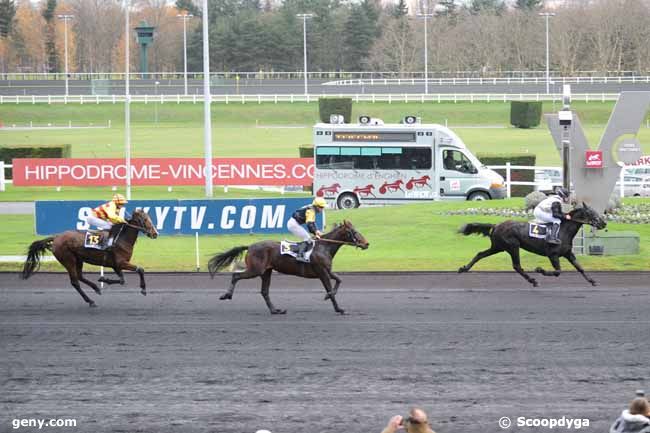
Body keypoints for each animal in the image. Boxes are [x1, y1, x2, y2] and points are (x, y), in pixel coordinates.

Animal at [20, 208, 158, 304]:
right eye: (145, 220)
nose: (155, 233)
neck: (121, 239)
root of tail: (56, 237)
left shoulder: (115, 265)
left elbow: (122, 280)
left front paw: (103, 279)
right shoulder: (121, 263)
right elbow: (140, 269)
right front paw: (143, 289)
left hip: (78, 259)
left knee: (80, 276)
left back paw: (96, 288)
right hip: (68, 260)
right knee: (75, 281)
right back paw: (90, 301)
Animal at [209, 219, 370, 314]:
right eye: (354, 232)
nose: (366, 243)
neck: (324, 247)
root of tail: (250, 246)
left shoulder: (327, 270)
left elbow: (339, 280)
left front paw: (329, 297)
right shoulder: (322, 272)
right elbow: (330, 288)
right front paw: (338, 308)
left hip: (266, 272)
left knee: (264, 291)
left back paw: (275, 310)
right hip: (256, 270)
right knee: (236, 275)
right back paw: (226, 295)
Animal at [458, 203, 604, 286]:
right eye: (591, 213)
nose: (603, 223)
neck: (563, 231)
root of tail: (496, 225)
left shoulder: (568, 254)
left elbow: (580, 268)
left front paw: (592, 281)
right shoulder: (553, 254)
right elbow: (558, 271)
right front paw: (540, 270)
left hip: (498, 247)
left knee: (480, 254)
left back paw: (464, 268)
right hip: (512, 246)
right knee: (517, 266)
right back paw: (533, 280)